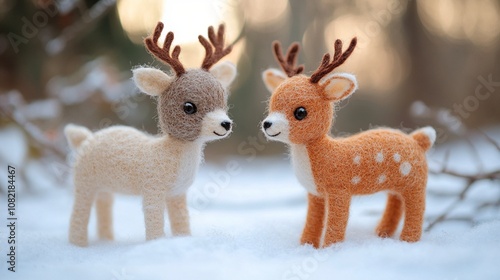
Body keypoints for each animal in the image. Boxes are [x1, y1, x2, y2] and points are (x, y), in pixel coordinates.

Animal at [66, 23, 236, 247]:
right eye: (189, 107)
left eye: (223, 101)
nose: (225, 124)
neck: (170, 152)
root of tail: (85, 139)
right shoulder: (153, 190)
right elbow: (154, 220)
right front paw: (155, 244)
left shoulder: (177, 193)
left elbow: (181, 219)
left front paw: (184, 239)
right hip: (84, 182)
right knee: (80, 210)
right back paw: (78, 245)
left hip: (104, 186)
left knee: (104, 204)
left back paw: (107, 242)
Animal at [262, 38, 434, 247]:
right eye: (271, 105)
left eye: (300, 112)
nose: (267, 124)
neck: (323, 152)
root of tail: (418, 140)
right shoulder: (315, 194)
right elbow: (313, 219)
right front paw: (306, 245)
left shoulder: (339, 190)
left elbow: (336, 221)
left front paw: (331, 248)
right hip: (398, 184)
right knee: (395, 202)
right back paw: (382, 233)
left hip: (415, 183)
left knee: (416, 207)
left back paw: (408, 240)